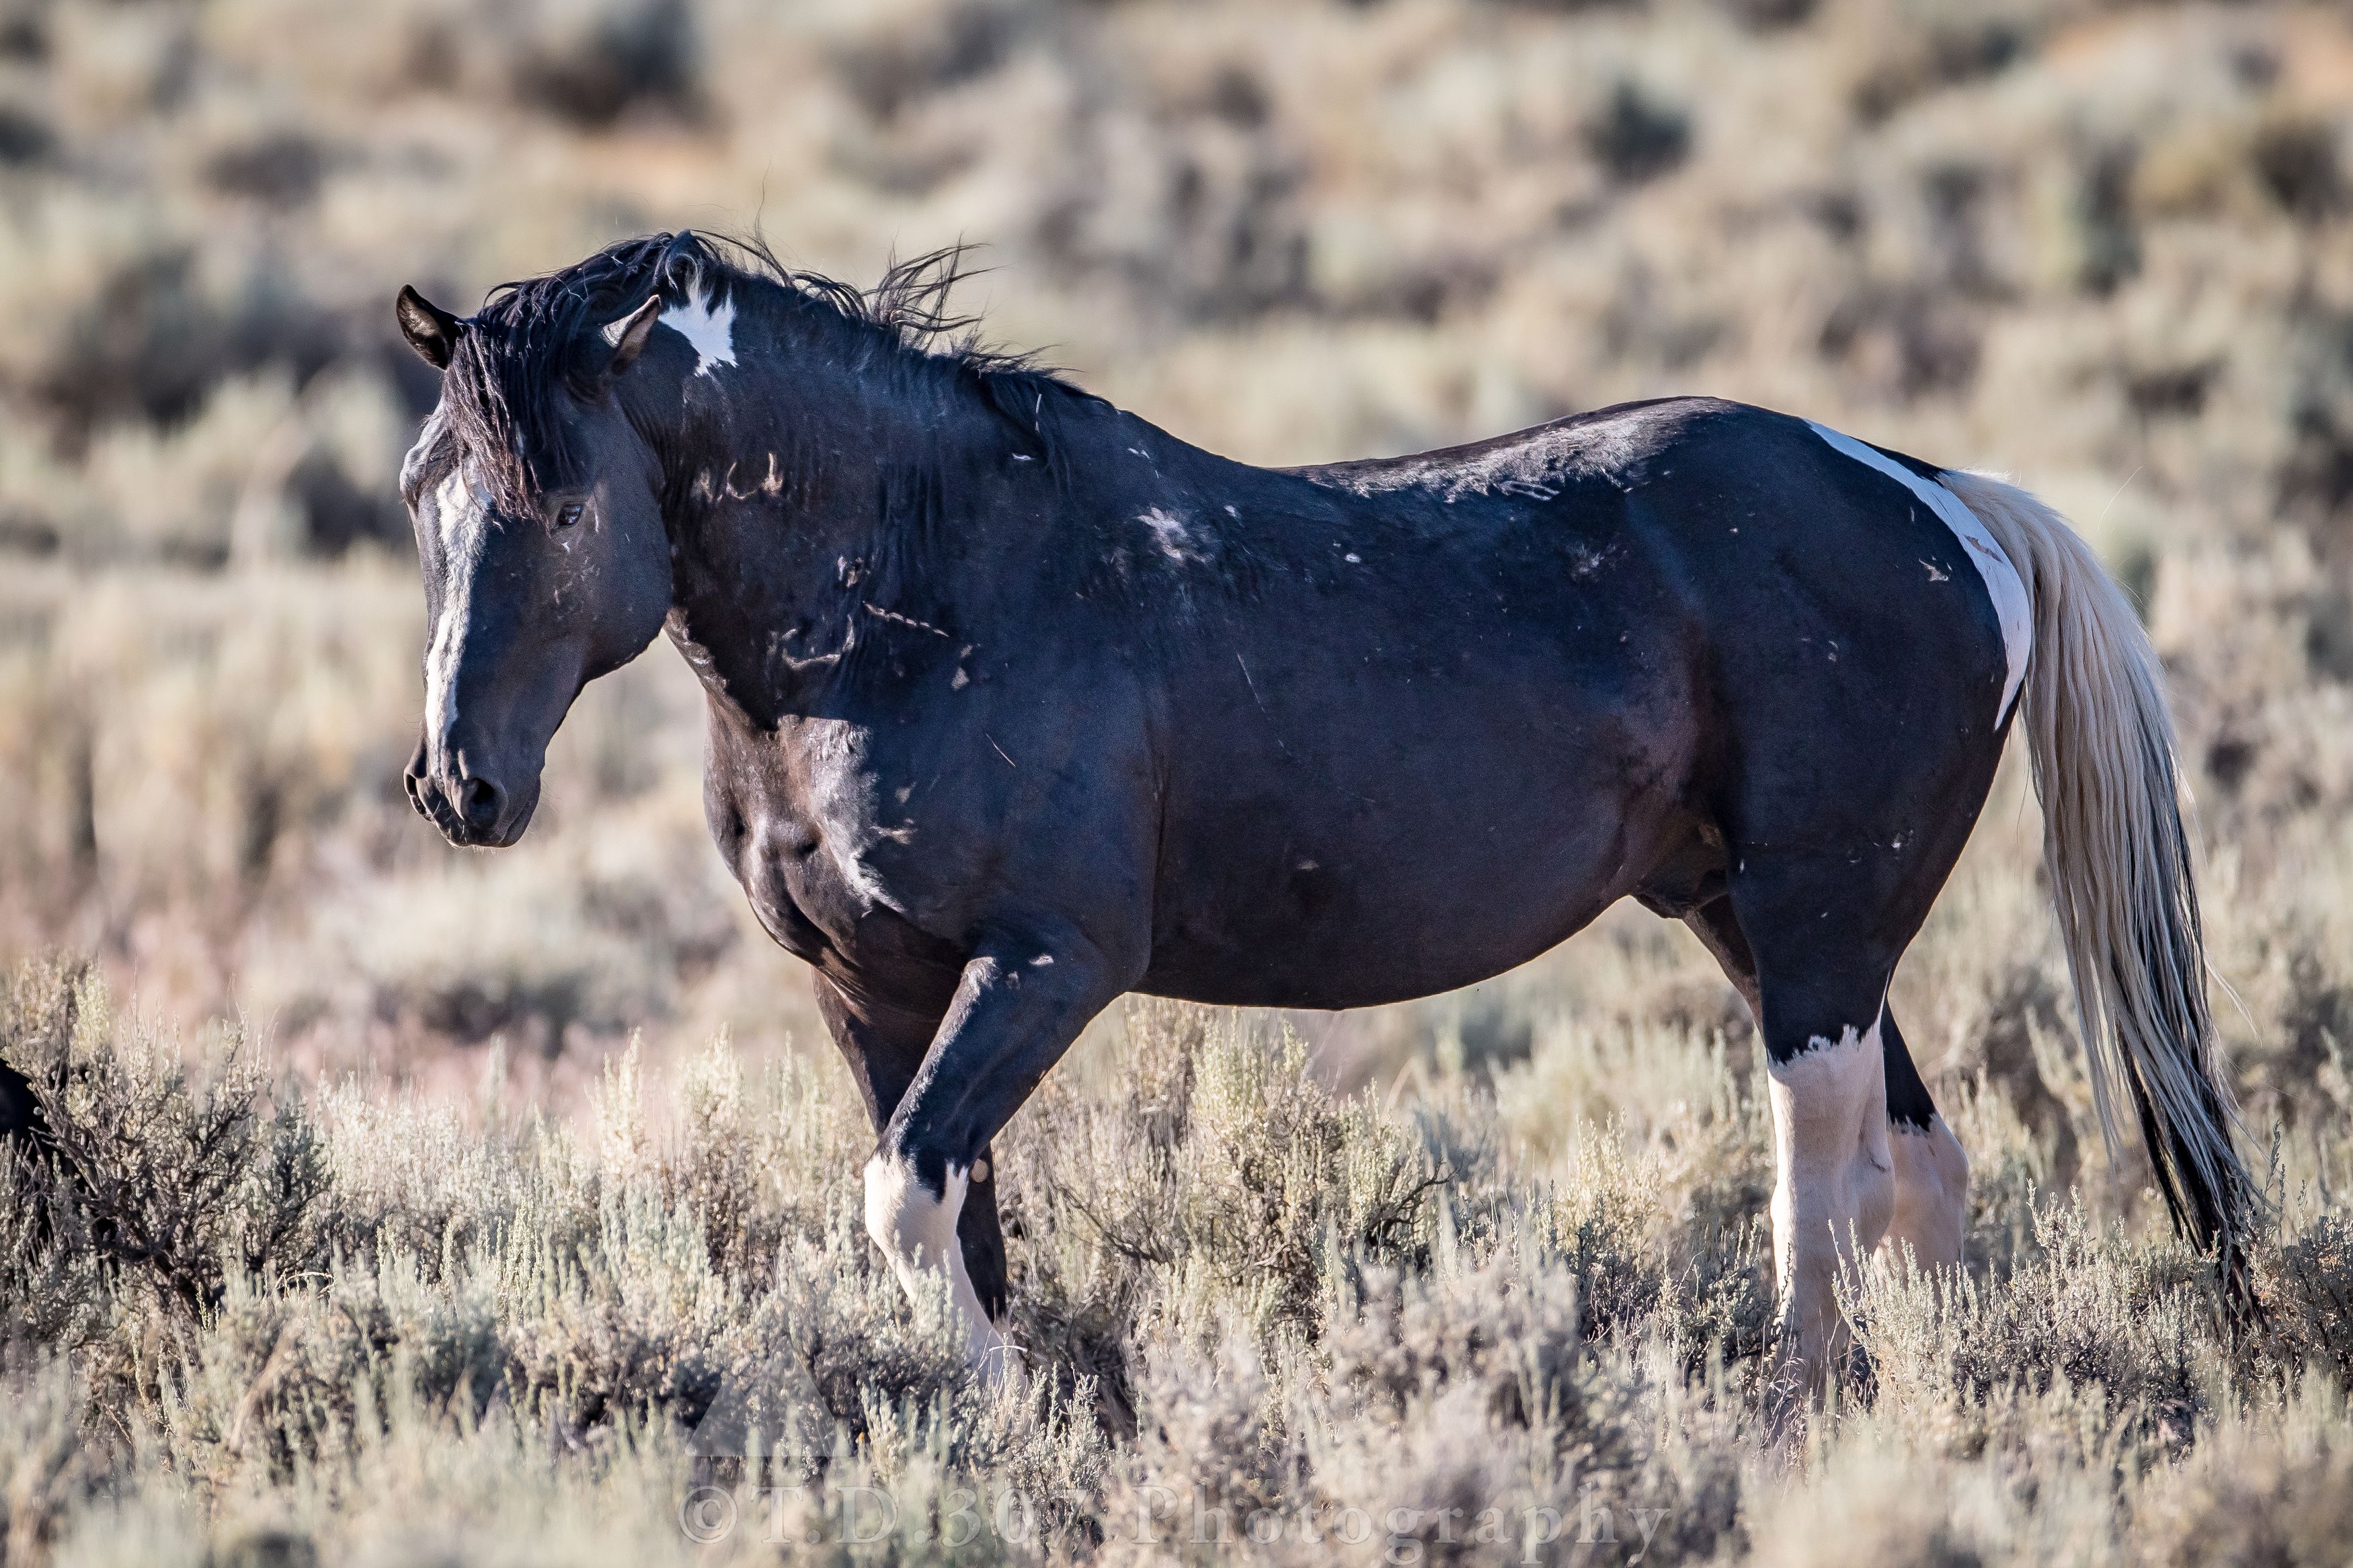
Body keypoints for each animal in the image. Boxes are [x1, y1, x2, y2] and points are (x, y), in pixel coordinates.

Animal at [392, 231, 2253, 1393]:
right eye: (422, 491)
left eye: (559, 501)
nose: (456, 784)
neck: (926, 588)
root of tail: (1938, 495)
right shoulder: (872, 988)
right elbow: (948, 1214)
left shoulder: (1048, 964)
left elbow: (909, 1197)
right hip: (1758, 914)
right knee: (1916, 1157)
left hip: (1814, 922)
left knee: (1822, 1158)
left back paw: (1798, 1412)